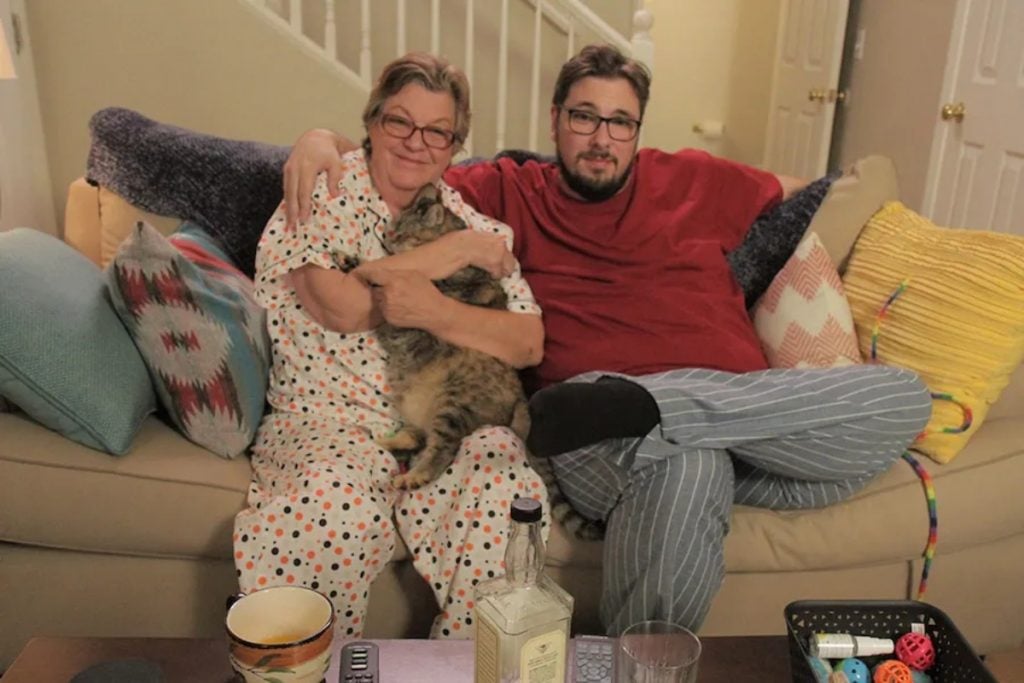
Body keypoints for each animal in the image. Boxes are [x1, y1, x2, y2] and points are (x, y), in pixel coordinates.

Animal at [339, 184, 602, 540]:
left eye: (402, 230)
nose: (387, 235)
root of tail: (522, 398)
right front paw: (352, 259)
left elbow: (380, 273)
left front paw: (365, 263)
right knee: (418, 437)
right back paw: (387, 440)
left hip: (453, 403)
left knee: (441, 449)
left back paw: (414, 474)